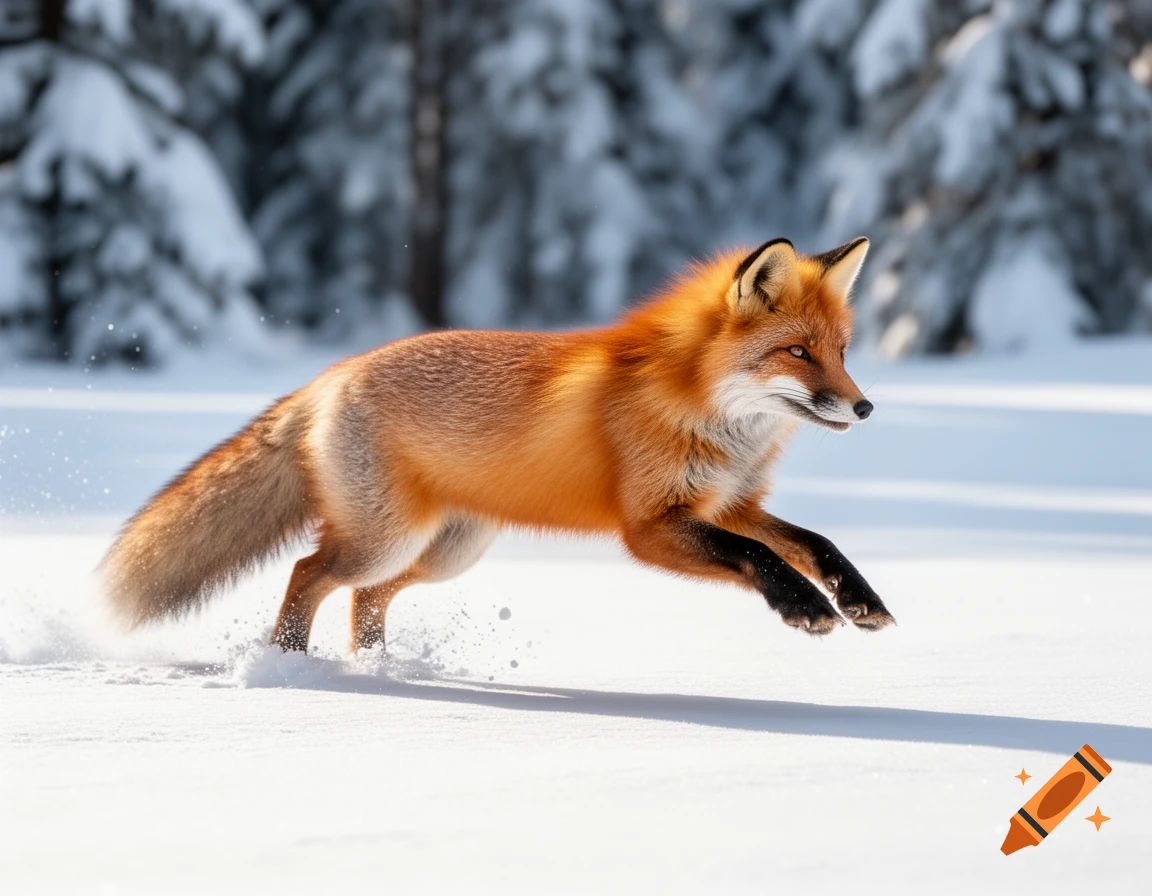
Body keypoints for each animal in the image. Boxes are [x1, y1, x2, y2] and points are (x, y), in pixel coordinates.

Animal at [99, 236, 895, 653]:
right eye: (797, 352)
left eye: (843, 351)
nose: (864, 406)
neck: (698, 407)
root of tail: (331, 374)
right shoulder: (651, 527)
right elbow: (760, 557)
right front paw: (804, 608)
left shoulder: (728, 504)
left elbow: (813, 541)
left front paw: (858, 598)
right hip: (386, 538)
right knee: (308, 573)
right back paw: (292, 666)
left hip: (447, 550)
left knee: (366, 598)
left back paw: (375, 670)